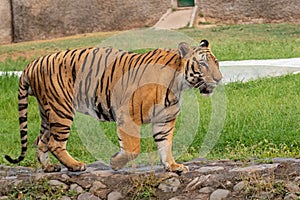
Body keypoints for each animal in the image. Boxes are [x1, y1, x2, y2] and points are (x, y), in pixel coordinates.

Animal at [4, 39, 220, 173]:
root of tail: (31, 64)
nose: (219, 79)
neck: (179, 83)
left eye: (216, 63)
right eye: (203, 64)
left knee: (40, 141)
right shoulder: (128, 114)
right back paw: (75, 166)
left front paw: (173, 166)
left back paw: (49, 168)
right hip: (61, 110)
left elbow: (165, 145)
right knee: (54, 143)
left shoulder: (164, 120)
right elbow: (133, 148)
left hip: (48, 112)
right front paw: (115, 163)